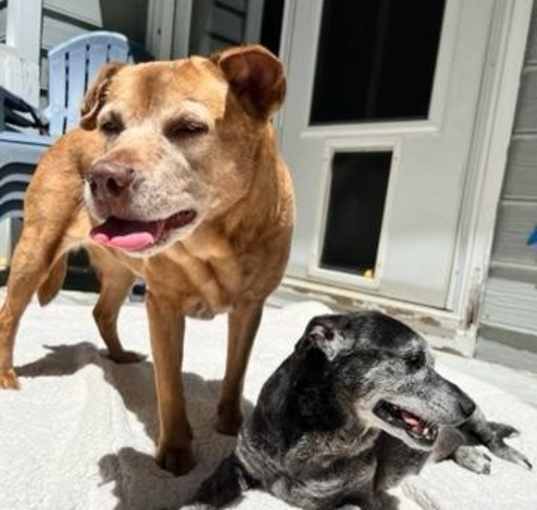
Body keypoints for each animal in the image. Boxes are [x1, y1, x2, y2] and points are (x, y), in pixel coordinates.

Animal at [0, 45, 294, 476]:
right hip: (35, 251)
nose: (101, 178)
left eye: (189, 128)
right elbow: (169, 385)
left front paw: (229, 423)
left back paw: (119, 355)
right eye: (110, 126)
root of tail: (66, 134)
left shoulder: (250, 309)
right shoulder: (163, 307)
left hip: (121, 272)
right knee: (9, 315)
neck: (214, 240)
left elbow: (235, 371)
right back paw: (6, 375)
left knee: (102, 312)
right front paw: (175, 449)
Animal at [186, 310, 528, 510]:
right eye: (414, 360)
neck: (316, 428)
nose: (468, 404)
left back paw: (495, 456)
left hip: (479, 423)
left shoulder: (361, 499)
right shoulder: (237, 464)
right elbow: (203, 496)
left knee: (489, 437)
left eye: (432, 363)